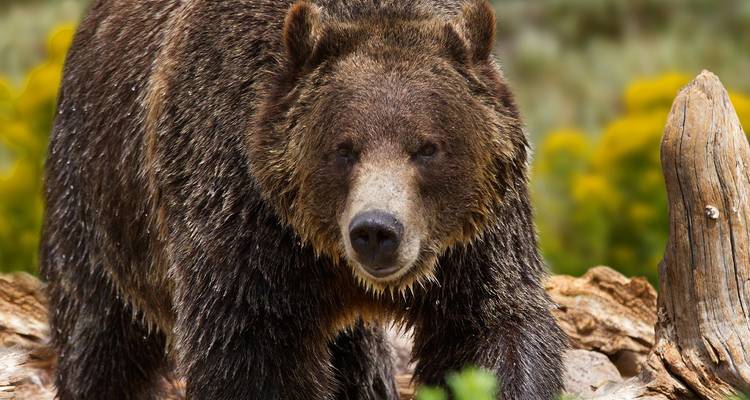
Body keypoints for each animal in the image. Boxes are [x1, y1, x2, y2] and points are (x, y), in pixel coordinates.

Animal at [40, 0, 567, 399]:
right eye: (344, 148)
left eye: (427, 147)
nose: (376, 231)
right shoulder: (244, 216)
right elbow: (252, 352)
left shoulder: (475, 241)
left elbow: (488, 329)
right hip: (98, 198)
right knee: (100, 336)